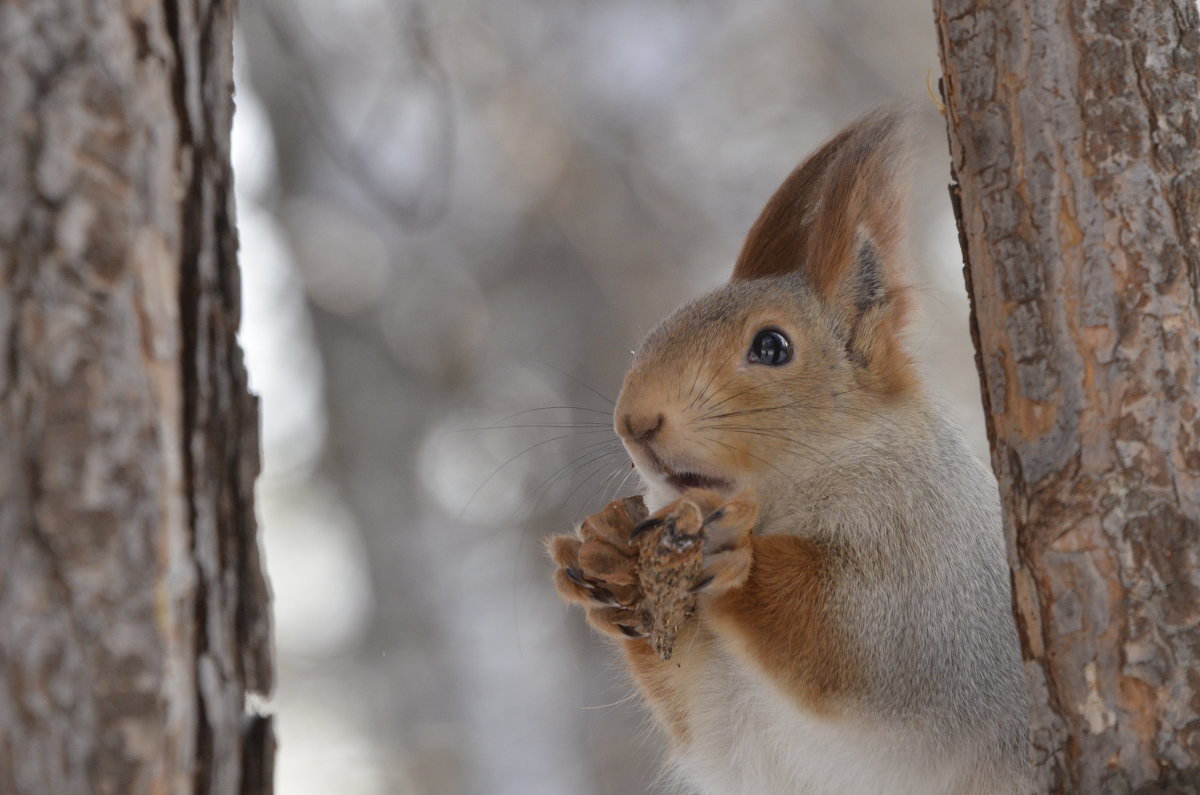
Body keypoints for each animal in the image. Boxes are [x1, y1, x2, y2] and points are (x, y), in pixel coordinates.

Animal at [549, 110, 1032, 795]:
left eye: (772, 347)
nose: (634, 422)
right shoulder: (735, 720)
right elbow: (707, 723)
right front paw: (604, 551)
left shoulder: (939, 596)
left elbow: (855, 642)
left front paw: (738, 556)